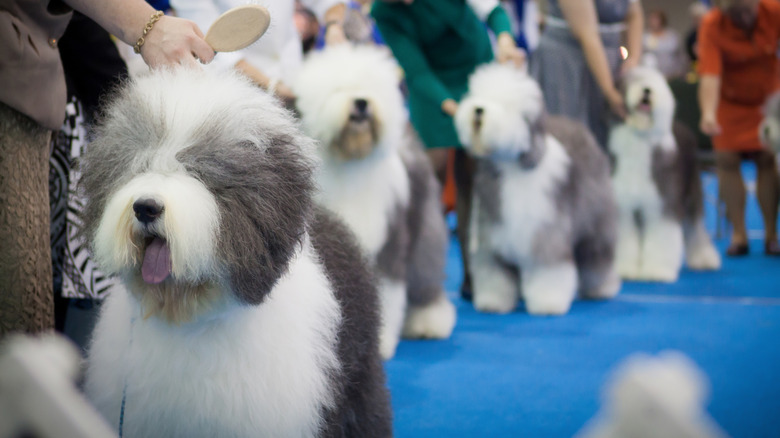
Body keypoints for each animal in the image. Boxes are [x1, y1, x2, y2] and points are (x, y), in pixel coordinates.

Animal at [294, 45, 458, 360]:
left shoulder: (387, 242)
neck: (350, 164)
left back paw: (429, 321)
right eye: (337, 89)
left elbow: (388, 292)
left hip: (424, 227)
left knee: (424, 272)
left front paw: (380, 342)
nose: (361, 102)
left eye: (369, 88)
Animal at [454, 62, 620, 314]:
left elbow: (549, 269)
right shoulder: (493, 236)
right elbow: (493, 272)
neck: (513, 166)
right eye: (476, 94)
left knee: (596, 253)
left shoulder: (546, 232)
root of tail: (580, 128)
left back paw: (601, 288)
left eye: (505, 103)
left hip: (594, 219)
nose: (479, 109)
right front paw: (493, 301)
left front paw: (547, 302)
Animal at [608, 66, 720, 282]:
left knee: (695, 225)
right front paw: (626, 269)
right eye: (633, 80)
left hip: (692, 191)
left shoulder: (664, 202)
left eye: (655, 80)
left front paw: (656, 270)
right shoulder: (625, 207)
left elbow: (662, 235)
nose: (646, 90)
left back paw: (704, 259)